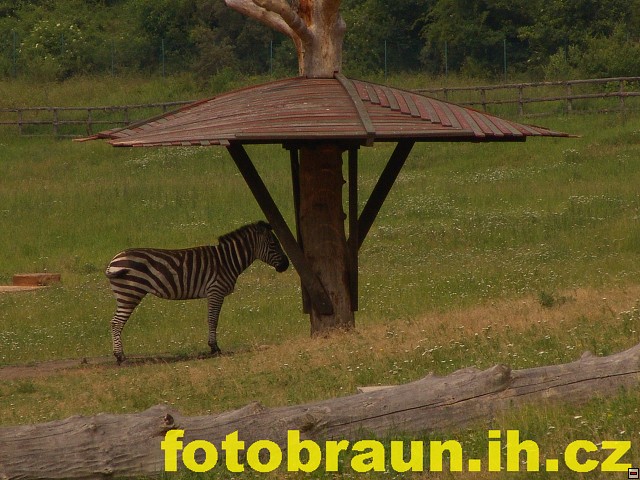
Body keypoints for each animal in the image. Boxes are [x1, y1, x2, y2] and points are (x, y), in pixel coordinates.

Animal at [105, 221, 289, 364]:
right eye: (274, 244)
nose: (286, 265)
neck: (227, 260)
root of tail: (114, 259)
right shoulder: (216, 290)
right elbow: (213, 319)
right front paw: (214, 348)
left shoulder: (214, 292)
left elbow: (212, 319)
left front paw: (213, 346)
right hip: (130, 293)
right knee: (116, 322)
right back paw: (120, 356)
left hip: (126, 294)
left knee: (115, 322)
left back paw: (119, 355)